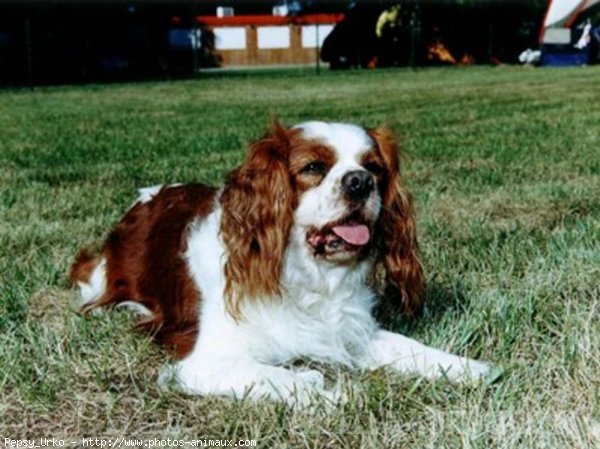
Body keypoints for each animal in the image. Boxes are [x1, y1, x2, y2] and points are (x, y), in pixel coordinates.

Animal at [71, 121, 492, 404]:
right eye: (313, 168)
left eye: (374, 168)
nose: (360, 182)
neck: (307, 277)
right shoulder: (201, 363)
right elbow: (290, 379)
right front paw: (333, 392)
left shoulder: (352, 331)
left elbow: (412, 348)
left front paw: (468, 368)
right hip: (102, 275)